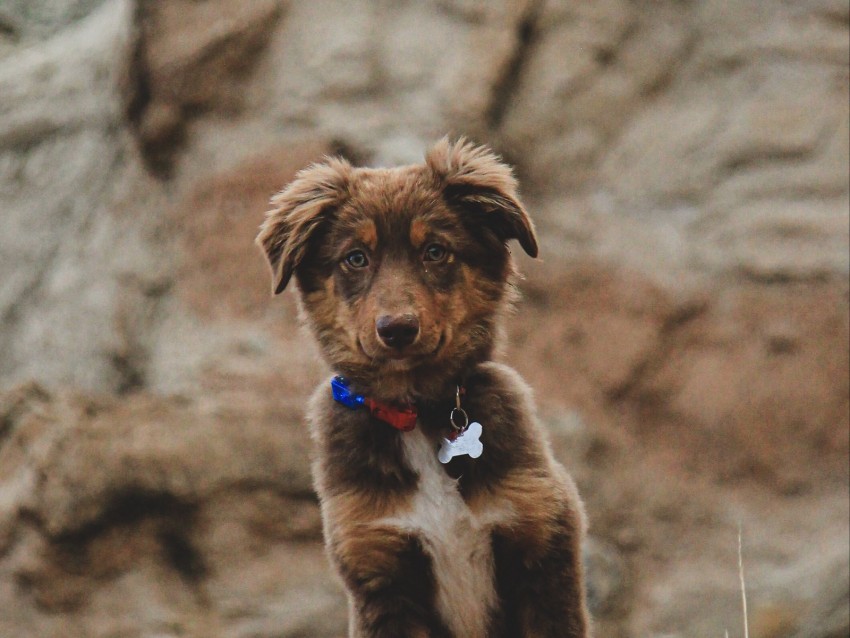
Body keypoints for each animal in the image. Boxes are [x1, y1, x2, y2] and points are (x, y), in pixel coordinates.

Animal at [256, 138, 588, 636]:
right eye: (356, 257)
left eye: (434, 251)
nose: (397, 329)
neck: (414, 410)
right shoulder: (380, 572)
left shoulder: (543, 549)